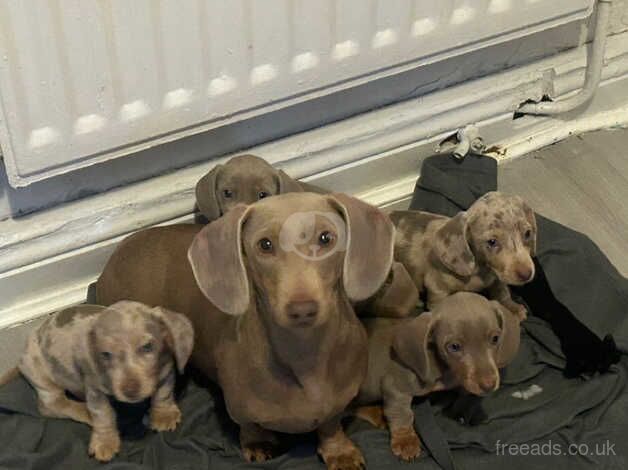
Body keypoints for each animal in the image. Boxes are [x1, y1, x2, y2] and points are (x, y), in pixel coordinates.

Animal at [17, 302, 194, 460]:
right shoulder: (95, 391)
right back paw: (85, 412)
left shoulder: (167, 369)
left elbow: (163, 393)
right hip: (40, 373)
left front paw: (164, 415)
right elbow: (103, 414)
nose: (130, 391)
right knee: (51, 406)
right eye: (106, 354)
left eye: (148, 346)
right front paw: (105, 442)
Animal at [95, 192, 394, 470]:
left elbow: (331, 423)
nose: (302, 309)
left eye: (325, 238)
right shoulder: (239, 409)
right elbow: (249, 426)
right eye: (265, 244)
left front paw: (339, 450)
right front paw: (258, 443)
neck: (304, 355)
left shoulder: (337, 404)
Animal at [354, 292, 520, 460]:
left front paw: (462, 409)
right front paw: (405, 440)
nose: (488, 385)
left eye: (495, 338)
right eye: (454, 346)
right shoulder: (395, 386)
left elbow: (466, 392)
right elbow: (402, 413)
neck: (445, 368)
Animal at [392, 191, 536, 320]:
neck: (481, 269)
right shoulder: (437, 288)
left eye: (528, 233)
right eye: (492, 242)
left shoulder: (496, 276)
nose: (526, 274)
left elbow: (502, 291)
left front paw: (512, 308)